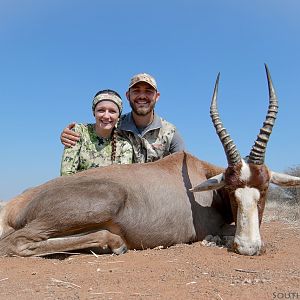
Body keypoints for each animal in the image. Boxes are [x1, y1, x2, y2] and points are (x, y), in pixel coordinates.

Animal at [0, 64, 300, 256]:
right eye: (229, 189)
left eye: (264, 190)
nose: (247, 248)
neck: (199, 173)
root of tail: (18, 202)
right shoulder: (212, 228)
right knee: (15, 243)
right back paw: (115, 244)